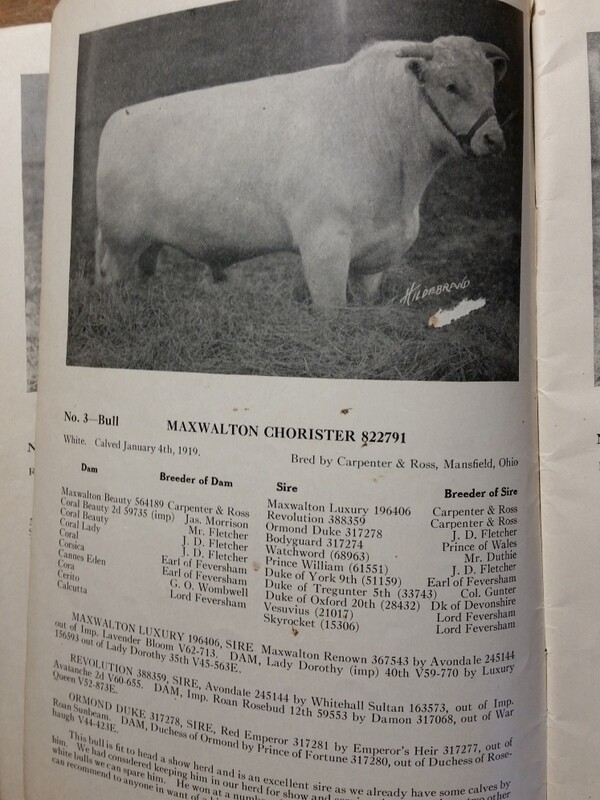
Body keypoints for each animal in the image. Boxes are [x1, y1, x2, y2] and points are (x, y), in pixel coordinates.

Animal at [95, 36, 508, 308]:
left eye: (490, 83)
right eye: (451, 85)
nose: (494, 138)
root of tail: (116, 120)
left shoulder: (374, 257)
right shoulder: (324, 245)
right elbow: (333, 311)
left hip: (146, 244)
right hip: (121, 242)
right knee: (113, 279)